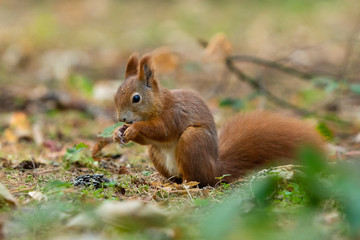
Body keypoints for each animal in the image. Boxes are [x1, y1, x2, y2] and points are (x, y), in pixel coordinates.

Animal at [112, 53, 324, 187]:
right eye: (116, 95)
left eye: (136, 98)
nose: (121, 118)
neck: (158, 104)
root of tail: (216, 168)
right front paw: (118, 132)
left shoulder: (174, 114)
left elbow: (162, 130)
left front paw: (134, 128)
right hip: (156, 154)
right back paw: (164, 181)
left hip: (193, 140)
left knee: (197, 179)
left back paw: (186, 185)